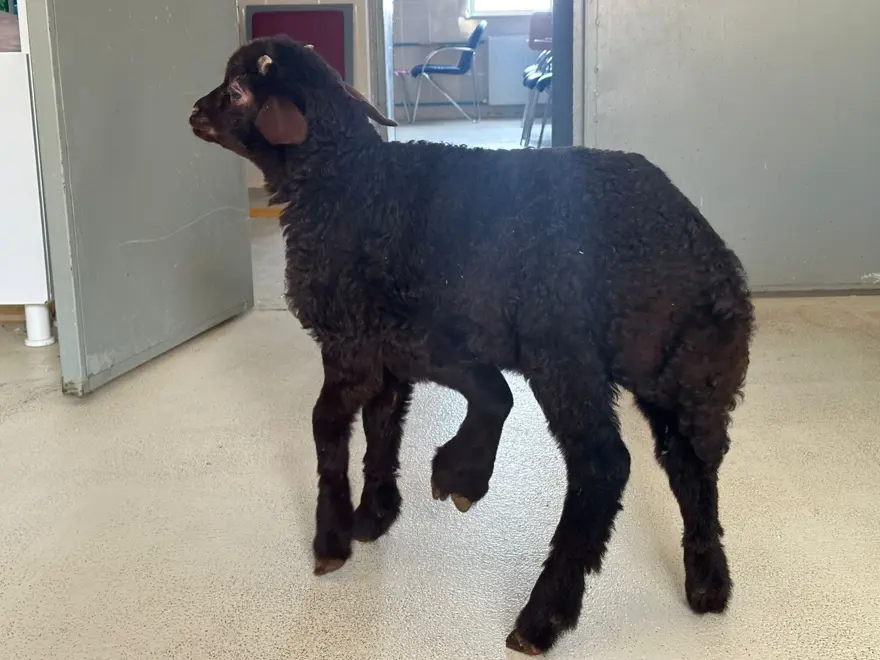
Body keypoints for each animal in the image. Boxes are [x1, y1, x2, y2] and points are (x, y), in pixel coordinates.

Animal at [189, 36, 755, 656]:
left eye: (236, 88)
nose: (194, 111)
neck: (347, 183)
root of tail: (693, 251)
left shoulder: (370, 343)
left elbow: (338, 426)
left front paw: (344, 531)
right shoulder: (391, 358)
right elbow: (385, 426)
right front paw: (376, 514)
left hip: (567, 352)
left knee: (605, 464)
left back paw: (543, 616)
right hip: (690, 374)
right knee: (693, 466)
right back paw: (708, 582)